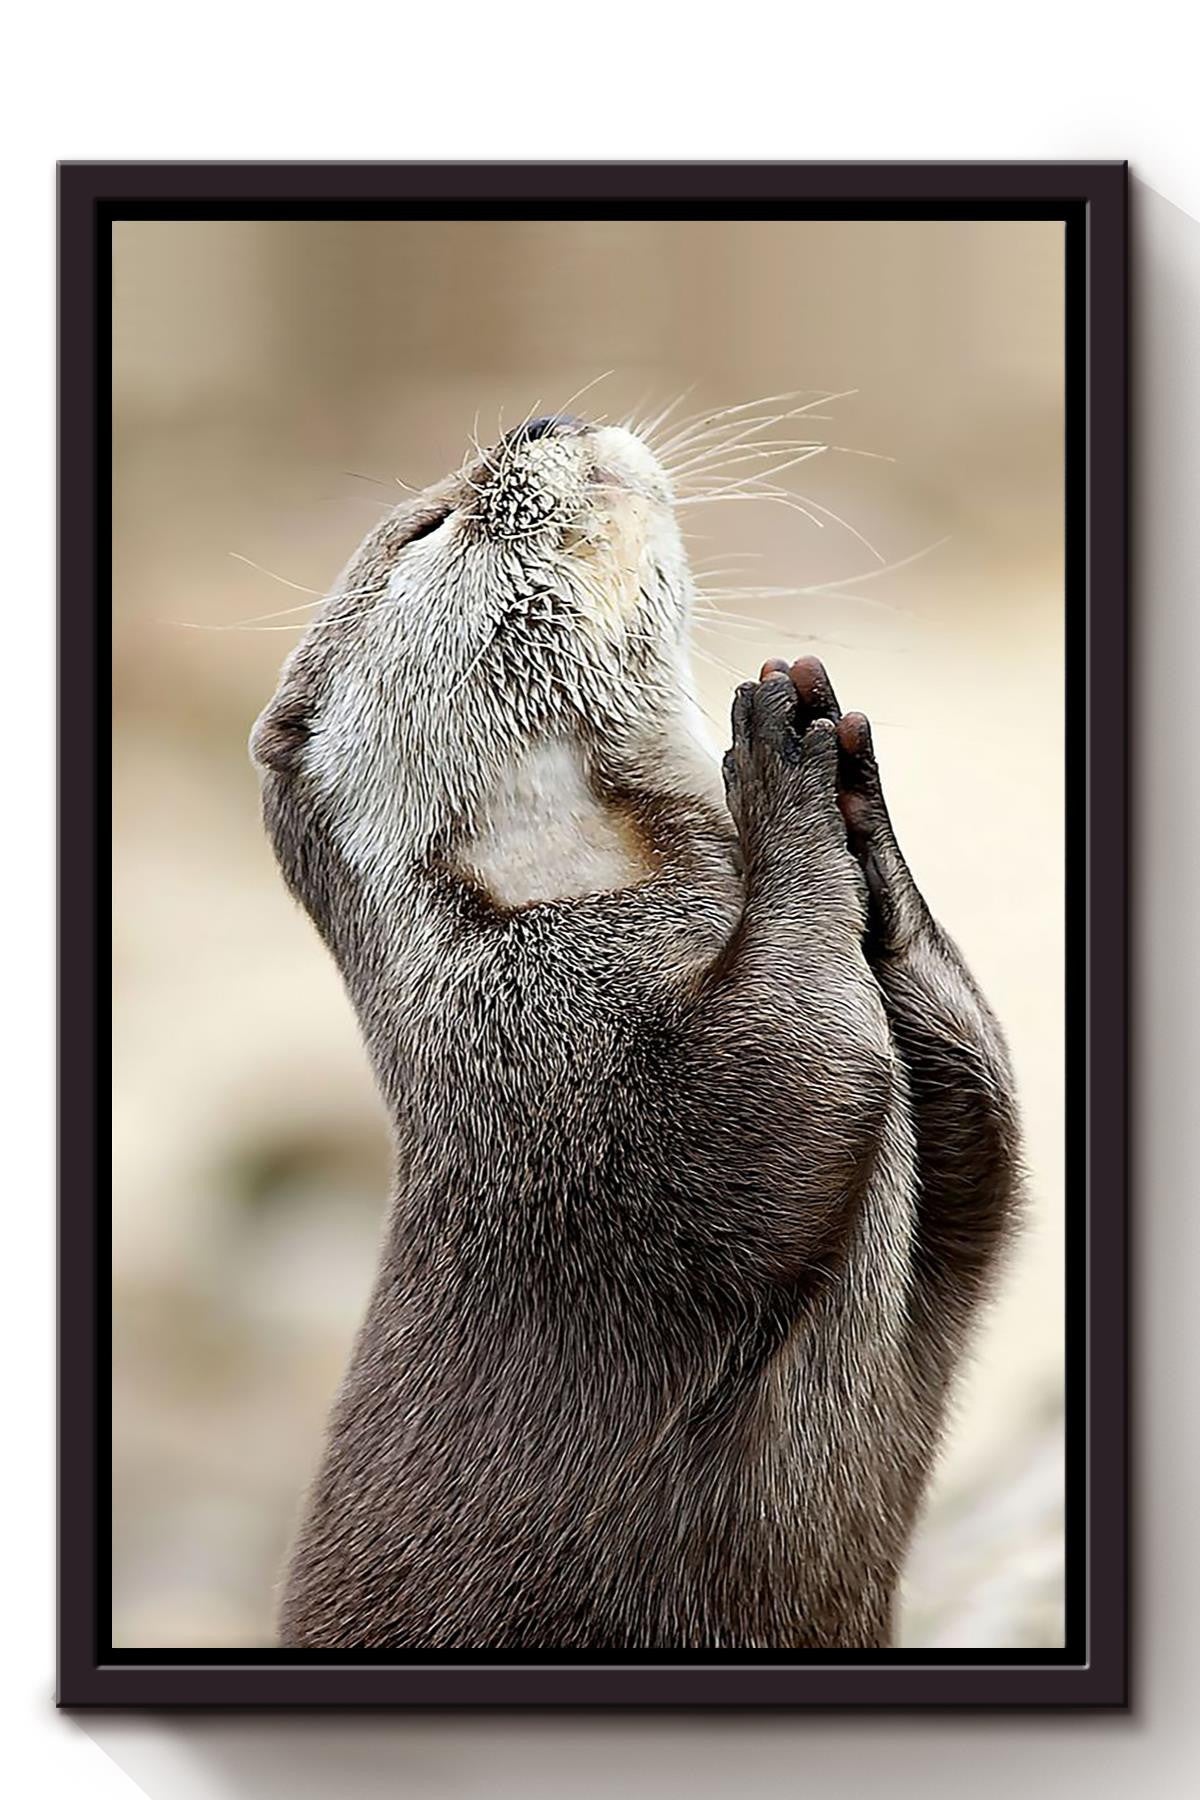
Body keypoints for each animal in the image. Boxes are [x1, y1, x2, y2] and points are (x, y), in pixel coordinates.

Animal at [251, 409, 1020, 1650]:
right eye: (428, 526)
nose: (540, 419)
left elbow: (986, 1136)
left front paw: (856, 797)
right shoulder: (568, 1074)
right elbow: (789, 1076)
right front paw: (778, 763)